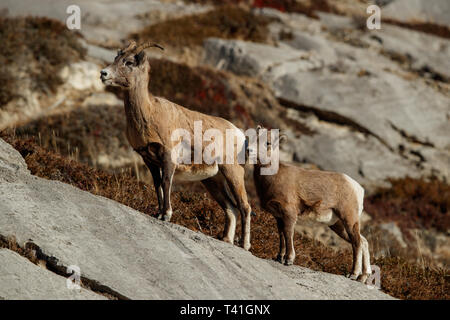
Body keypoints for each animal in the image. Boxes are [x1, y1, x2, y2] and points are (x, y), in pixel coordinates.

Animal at [101, 41, 253, 250]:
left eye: (129, 62)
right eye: (117, 58)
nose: (103, 73)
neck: (150, 113)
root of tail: (238, 133)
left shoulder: (168, 158)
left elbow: (166, 183)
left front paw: (166, 215)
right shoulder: (149, 160)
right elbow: (157, 185)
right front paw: (158, 214)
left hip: (232, 171)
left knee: (245, 206)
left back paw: (244, 245)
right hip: (212, 180)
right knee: (231, 207)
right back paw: (226, 240)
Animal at [253, 127, 372, 282]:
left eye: (267, 143)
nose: (249, 150)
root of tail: (358, 188)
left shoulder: (289, 214)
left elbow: (288, 233)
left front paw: (288, 260)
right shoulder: (278, 217)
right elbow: (281, 235)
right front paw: (279, 257)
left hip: (349, 219)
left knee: (357, 243)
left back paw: (353, 274)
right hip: (337, 225)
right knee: (363, 241)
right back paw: (362, 277)